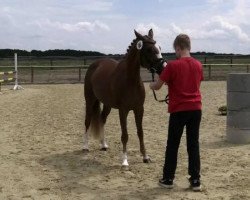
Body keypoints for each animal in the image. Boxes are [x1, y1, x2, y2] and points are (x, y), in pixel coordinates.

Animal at [83, 28, 163, 166]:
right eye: (148, 49)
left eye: (159, 47)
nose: (163, 66)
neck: (130, 80)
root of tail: (94, 65)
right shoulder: (123, 110)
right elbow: (125, 135)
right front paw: (125, 160)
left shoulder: (139, 109)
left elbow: (140, 132)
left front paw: (145, 157)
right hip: (90, 100)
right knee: (87, 121)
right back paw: (86, 146)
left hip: (107, 104)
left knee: (102, 119)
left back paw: (103, 145)